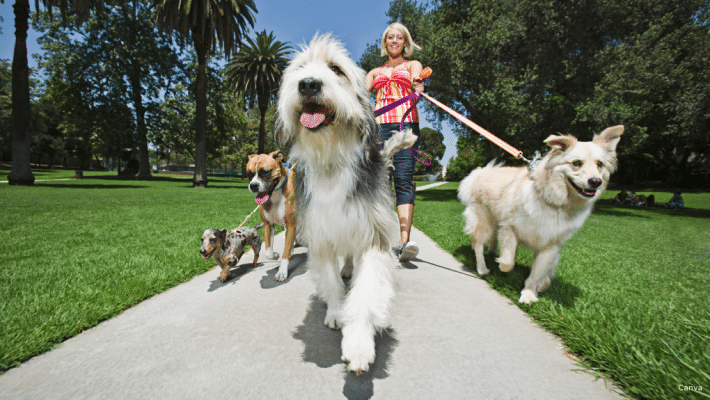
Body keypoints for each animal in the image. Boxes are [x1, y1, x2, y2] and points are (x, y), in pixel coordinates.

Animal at [248, 150, 298, 282]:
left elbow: (285, 253)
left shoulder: (291, 225)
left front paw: (282, 272)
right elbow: (268, 251)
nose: (253, 185)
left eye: (265, 172)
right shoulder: (268, 225)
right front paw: (275, 255)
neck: (276, 194)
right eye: (249, 173)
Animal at [276, 34, 404, 376]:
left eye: (336, 69)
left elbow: (366, 290)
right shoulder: (320, 233)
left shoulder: (374, 234)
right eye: (300, 69)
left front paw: (358, 343)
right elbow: (331, 280)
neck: (332, 157)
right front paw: (336, 312)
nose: (308, 84)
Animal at [458, 126, 624, 304]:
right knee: (478, 245)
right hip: (484, 221)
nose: (596, 182)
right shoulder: (510, 228)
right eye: (576, 163)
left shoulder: (550, 246)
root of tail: (479, 174)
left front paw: (530, 293)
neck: (556, 203)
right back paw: (483, 267)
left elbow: (538, 273)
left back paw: (492, 253)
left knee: (493, 240)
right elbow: (509, 261)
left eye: (600, 164)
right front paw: (502, 266)